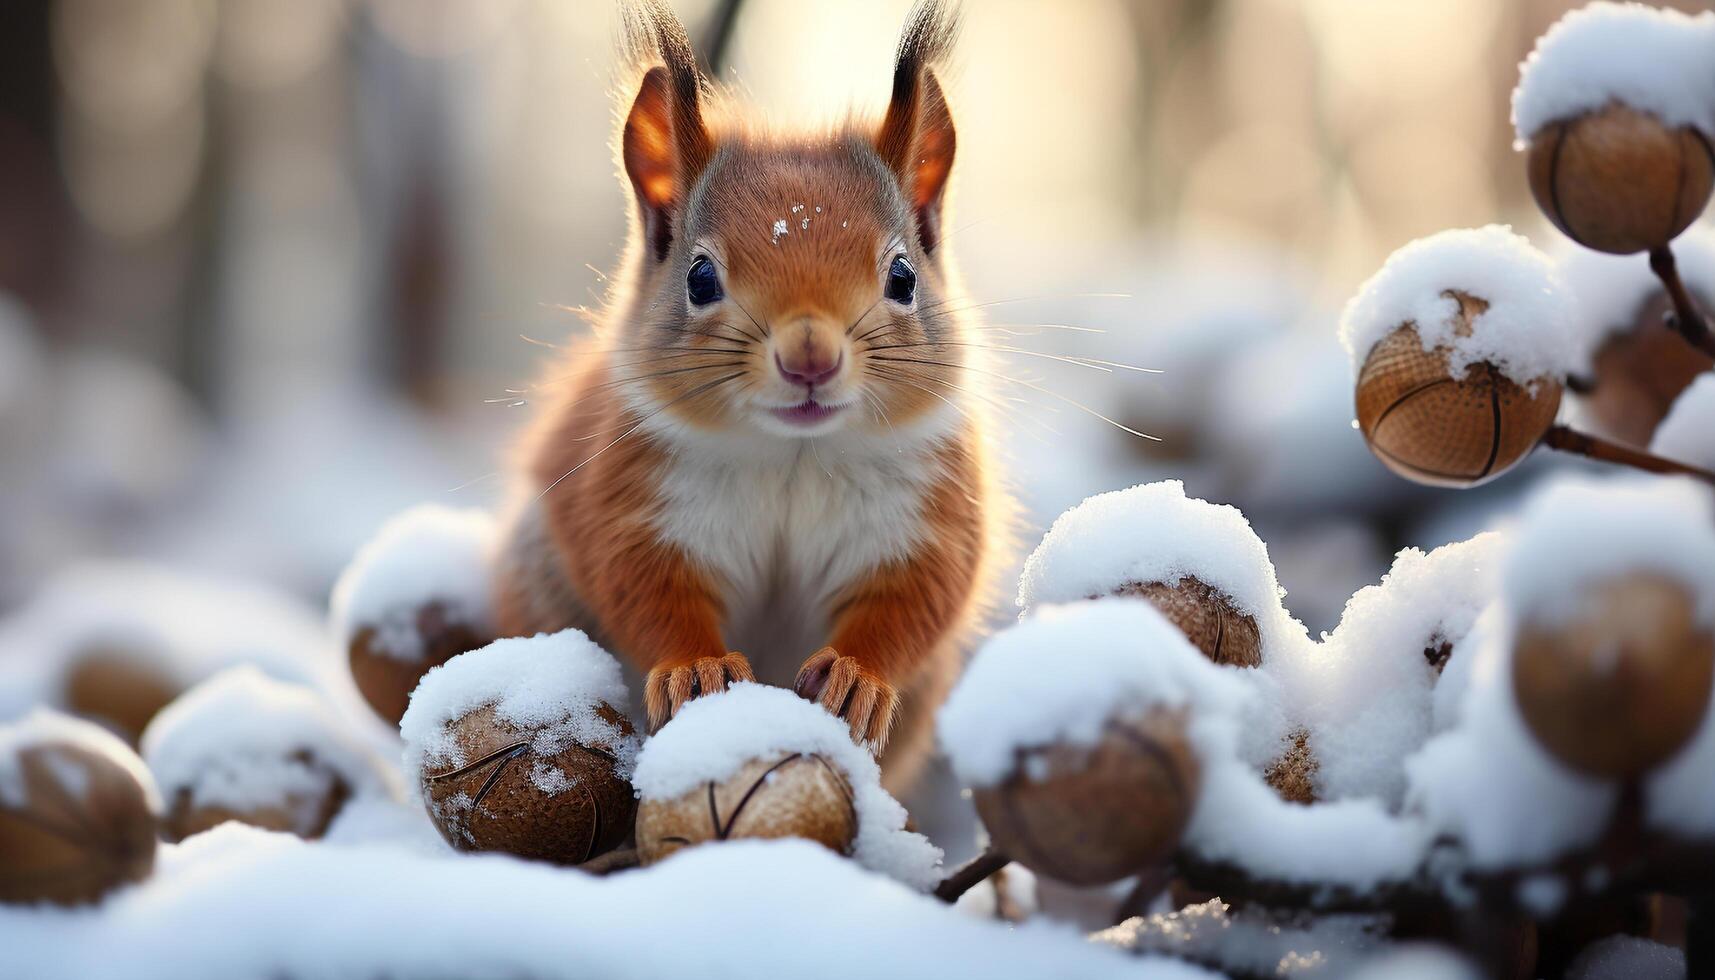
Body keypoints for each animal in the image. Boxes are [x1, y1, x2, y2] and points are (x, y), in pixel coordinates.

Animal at [493, 0, 1001, 786]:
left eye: (902, 277)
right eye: (700, 279)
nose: (809, 356)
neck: (794, 455)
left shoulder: (925, 516)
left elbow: (915, 599)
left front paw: (857, 673)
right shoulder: (629, 498)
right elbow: (643, 586)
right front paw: (694, 666)